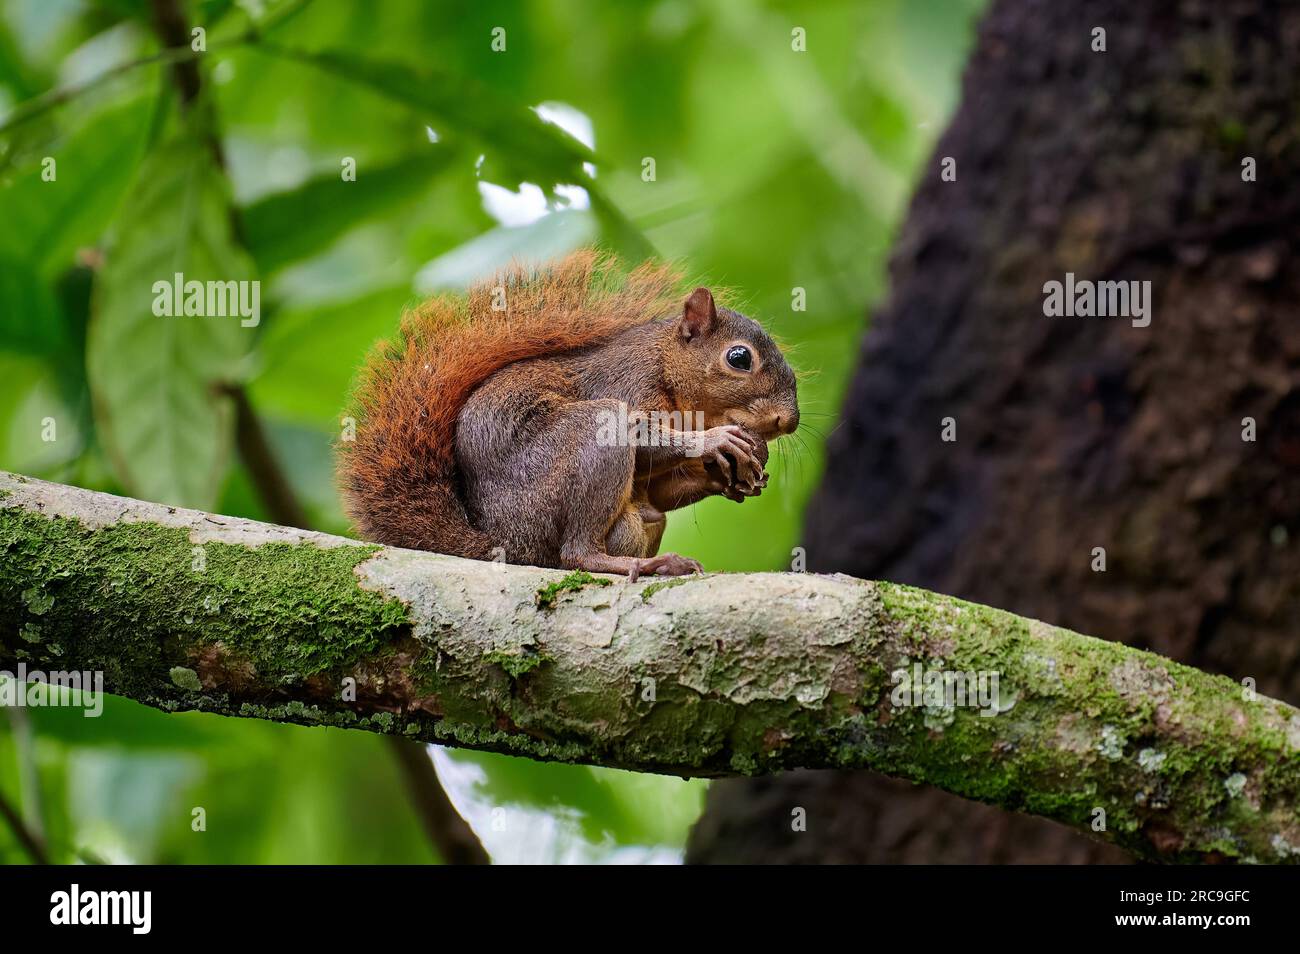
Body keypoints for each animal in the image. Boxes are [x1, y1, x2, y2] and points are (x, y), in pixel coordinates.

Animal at [335, 250, 795, 579]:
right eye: (739, 358)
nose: (787, 421)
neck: (667, 365)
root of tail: (507, 543)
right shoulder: (626, 383)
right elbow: (644, 441)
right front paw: (715, 441)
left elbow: (663, 489)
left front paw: (734, 475)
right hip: (584, 443)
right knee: (575, 554)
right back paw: (637, 564)